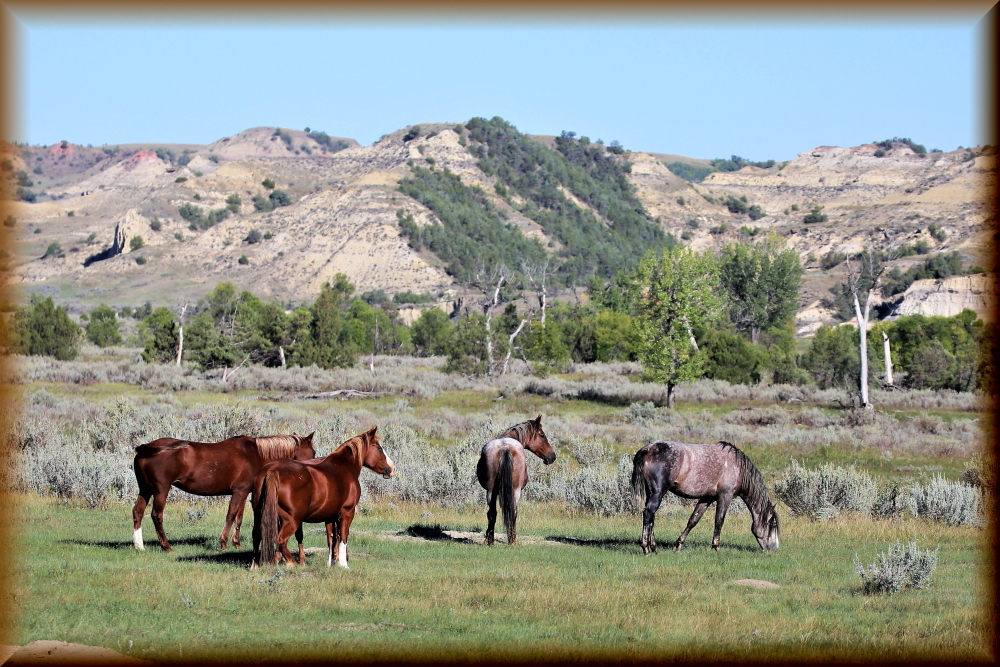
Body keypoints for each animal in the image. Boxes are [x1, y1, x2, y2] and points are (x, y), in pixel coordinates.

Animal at [132, 432, 315, 552]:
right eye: (312, 451)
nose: (312, 468)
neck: (255, 454)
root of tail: (147, 448)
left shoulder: (244, 492)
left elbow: (239, 517)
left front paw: (236, 543)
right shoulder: (239, 491)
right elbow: (231, 515)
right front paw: (223, 543)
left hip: (145, 489)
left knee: (138, 512)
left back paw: (139, 546)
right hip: (161, 490)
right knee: (156, 515)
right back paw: (166, 546)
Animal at [251, 426, 394, 569]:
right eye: (379, 448)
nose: (392, 468)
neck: (344, 468)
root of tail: (272, 471)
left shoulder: (330, 516)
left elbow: (331, 539)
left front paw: (331, 563)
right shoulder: (347, 512)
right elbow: (343, 537)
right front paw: (343, 564)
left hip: (259, 514)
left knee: (257, 536)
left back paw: (256, 565)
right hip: (291, 520)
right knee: (281, 540)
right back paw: (292, 563)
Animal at [476, 415, 556, 546]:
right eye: (542, 435)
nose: (552, 457)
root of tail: (505, 447)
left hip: (491, 491)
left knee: (492, 513)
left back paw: (490, 541)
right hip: (516, 491)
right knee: (513, 512)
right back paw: (512, 540)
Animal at [630, 440, 779, 553]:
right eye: (773, 524)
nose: (774, 549)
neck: (737, 468)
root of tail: (648, 449)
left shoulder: (706, 498)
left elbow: (693, 520)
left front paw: (678, 545)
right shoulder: (725, 496)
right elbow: (719, 521)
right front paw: (716, 547)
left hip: (651, 492)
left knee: (651, 517)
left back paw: (654, 547)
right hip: (658, 492)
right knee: (649, 514)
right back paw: (646, 548)